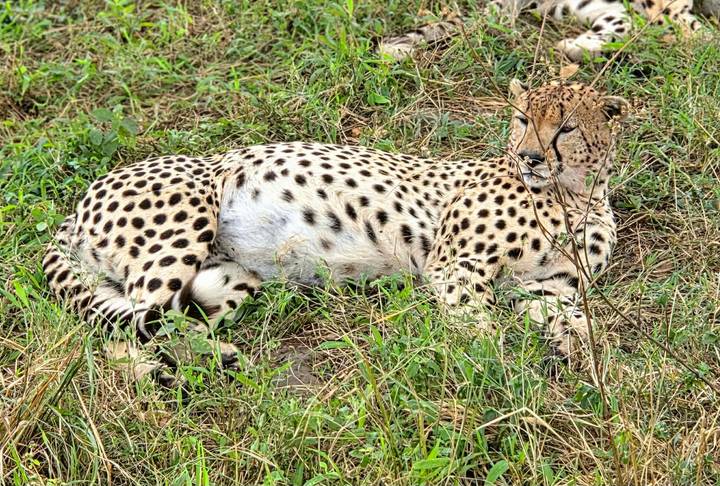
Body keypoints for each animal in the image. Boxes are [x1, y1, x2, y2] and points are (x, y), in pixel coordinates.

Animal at [43, 79, 628, 385]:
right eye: (523, 119)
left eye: (565, 127)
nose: (530, 157)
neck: (576, 194)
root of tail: (79, 204)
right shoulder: (456, 264)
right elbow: (476, 324)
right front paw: (496, 368)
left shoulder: (546, 288)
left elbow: (578, 323)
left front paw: (588, 360)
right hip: (183, 225)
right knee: (126, 331)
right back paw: (158, 376)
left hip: (230, 279)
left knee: (150, 319)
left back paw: (215, 357)